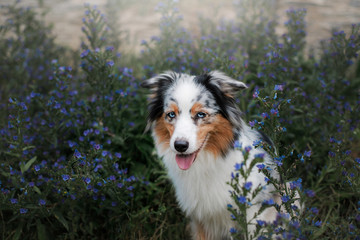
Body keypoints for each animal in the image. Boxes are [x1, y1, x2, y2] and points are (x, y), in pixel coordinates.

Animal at [142, 70, 282, 239]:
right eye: (171, 115)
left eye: (201, 114)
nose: (180, 146)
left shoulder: (254, 214)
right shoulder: (200, 219)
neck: (206, 163)